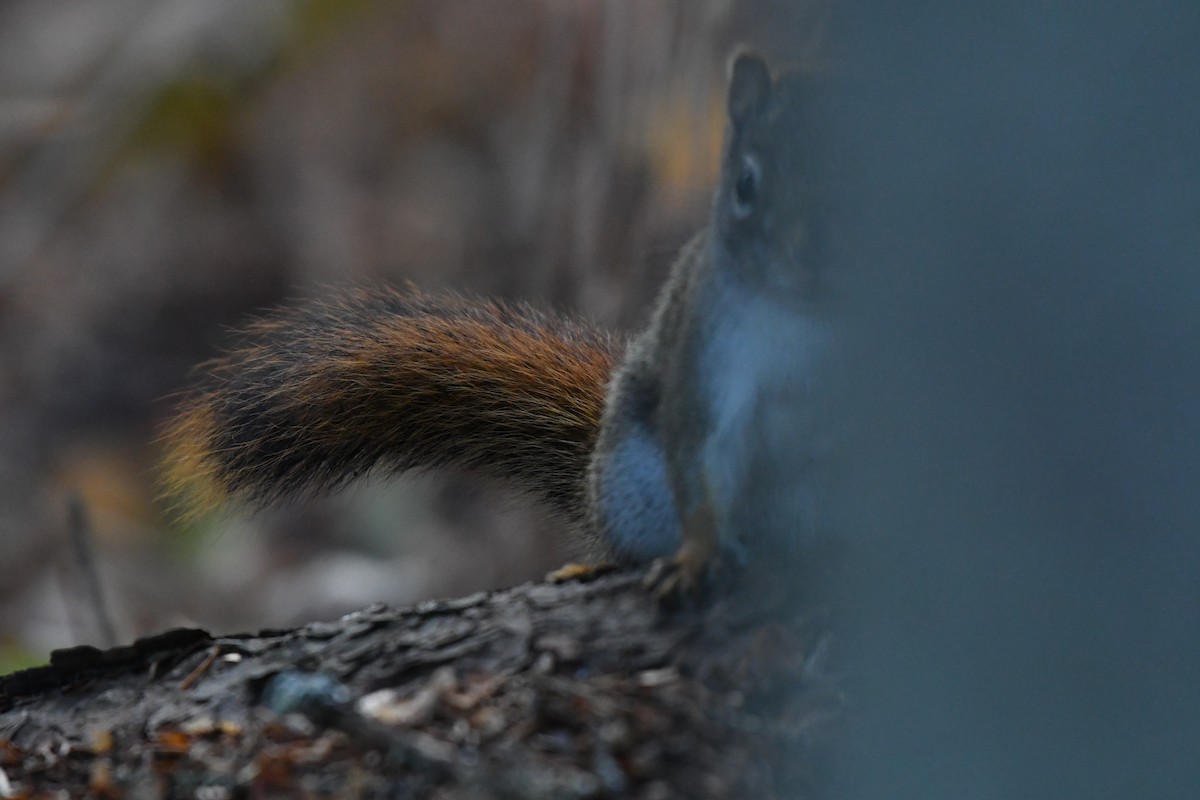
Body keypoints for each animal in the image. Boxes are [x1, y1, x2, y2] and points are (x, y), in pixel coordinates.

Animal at [162, 50, 830, 594]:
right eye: (745, 182)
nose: (805, 256)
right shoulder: (705, 357)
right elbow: (701, 453)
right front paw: (697, 556)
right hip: (635, 480)